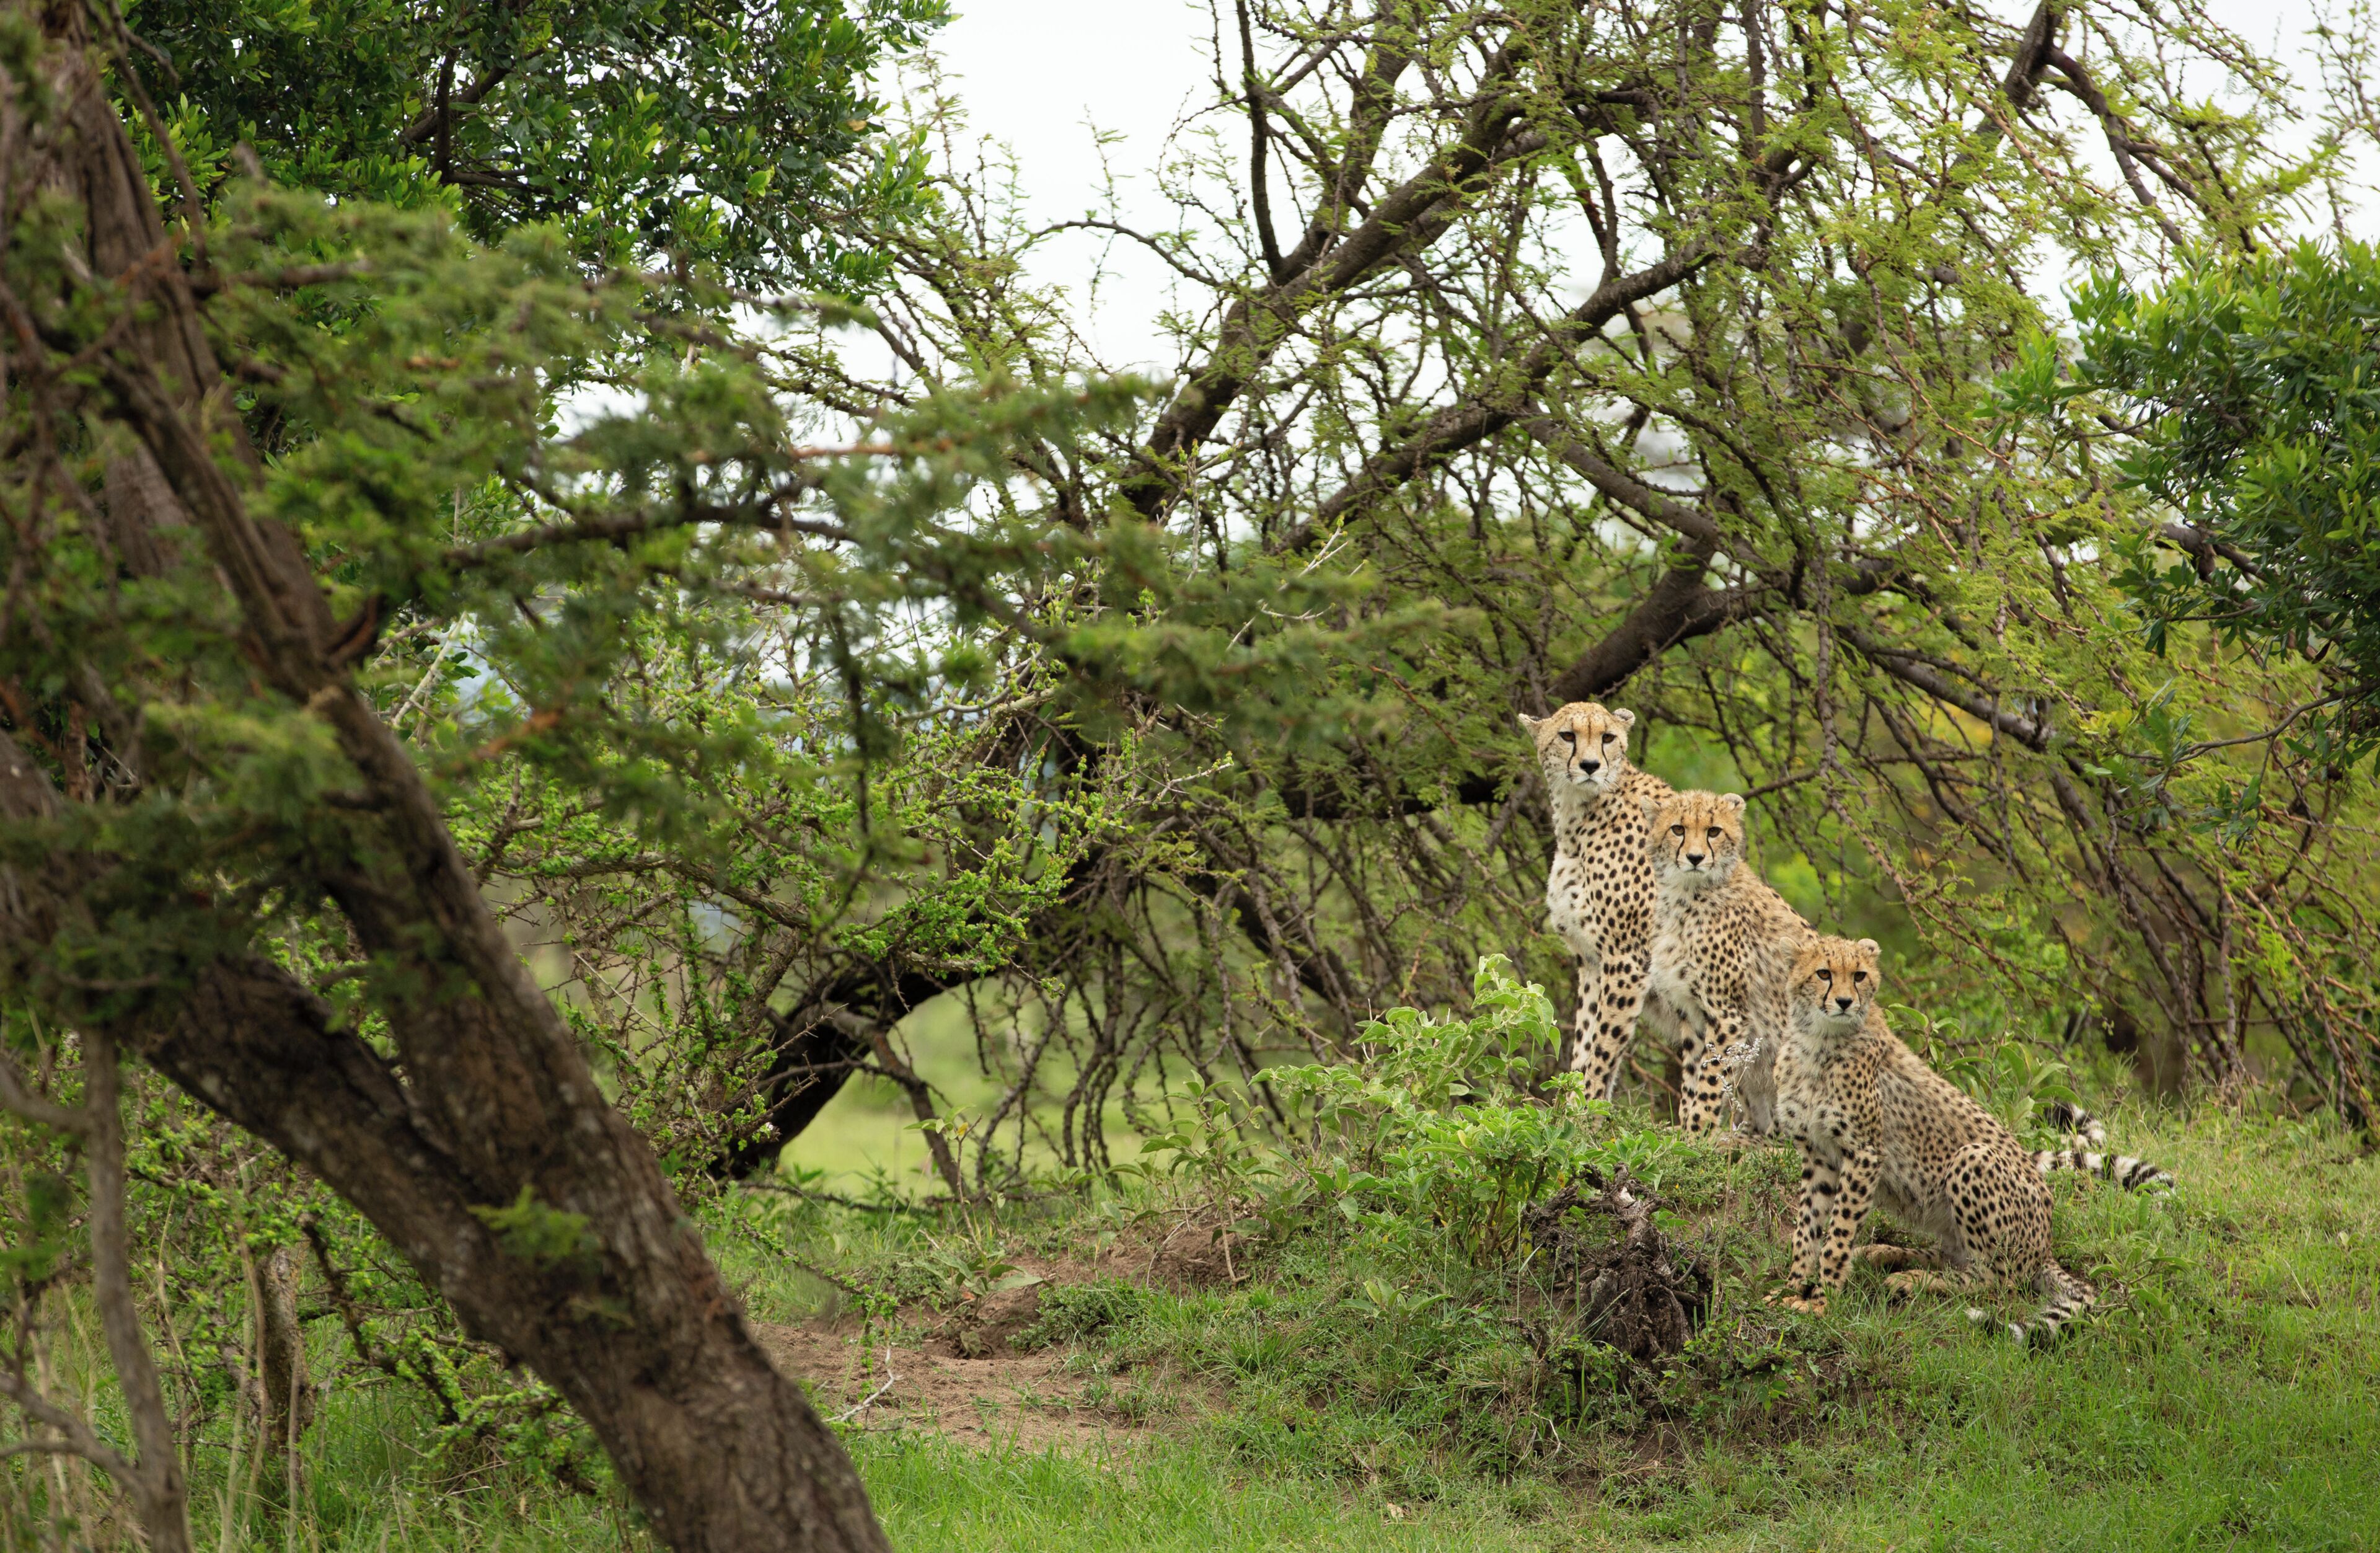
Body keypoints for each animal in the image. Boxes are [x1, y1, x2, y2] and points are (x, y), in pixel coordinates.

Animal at [1519, 702, 1674, 1101]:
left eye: (1608, 738)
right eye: (1567, 736)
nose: (1590, 766)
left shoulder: (1628, 959)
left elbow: (1605, 1047)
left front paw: (1586, 1106)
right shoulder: (1591, 960)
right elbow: (1586, 1041)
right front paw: (1569, 1105)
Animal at [1642, 790, 1812, 1137]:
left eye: (1714, 831)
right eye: (1678, 829)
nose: (1695, 858)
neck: (1685, 895)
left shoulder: (1728, 1015)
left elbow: (1711, 1078)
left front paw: (1697, 1132)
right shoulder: (1693, 1013)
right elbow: (1693, 1076)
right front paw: (1686, 1130)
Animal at [1769, 935, 2103, 1345]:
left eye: (1860, 975)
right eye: (1823, 974)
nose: (1846, 1002)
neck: (1817, 1040)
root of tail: (2047, 1248)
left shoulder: (1864, 1154)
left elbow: (1838, 1235)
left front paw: (1823, 1299)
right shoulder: (1818, 1156)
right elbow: (1807, 1229)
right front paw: (1792, 1287)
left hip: (1974, 1158)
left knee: (1995, 1283)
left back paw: (1914, 1280)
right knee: (1954, 1257)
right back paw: (1887, 1255)